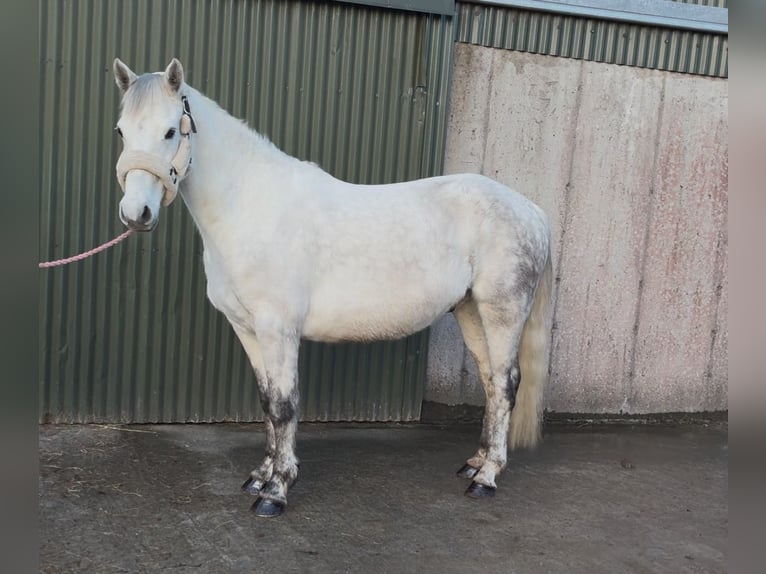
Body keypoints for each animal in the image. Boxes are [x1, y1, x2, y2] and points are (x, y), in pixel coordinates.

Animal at [112, 58, 552, 518]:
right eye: (121, 131)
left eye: (170, 131)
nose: (136, 213)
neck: (250, 206)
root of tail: (532, 211)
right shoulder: (248, 329)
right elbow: (266, 401)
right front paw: (260, 475)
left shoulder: (279, 329)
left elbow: (285, 405)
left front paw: (277, 490)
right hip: (470, 310)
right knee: (490, 381)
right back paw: (475, 463)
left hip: (502, 312)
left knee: (506, 382)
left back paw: (487, 478)